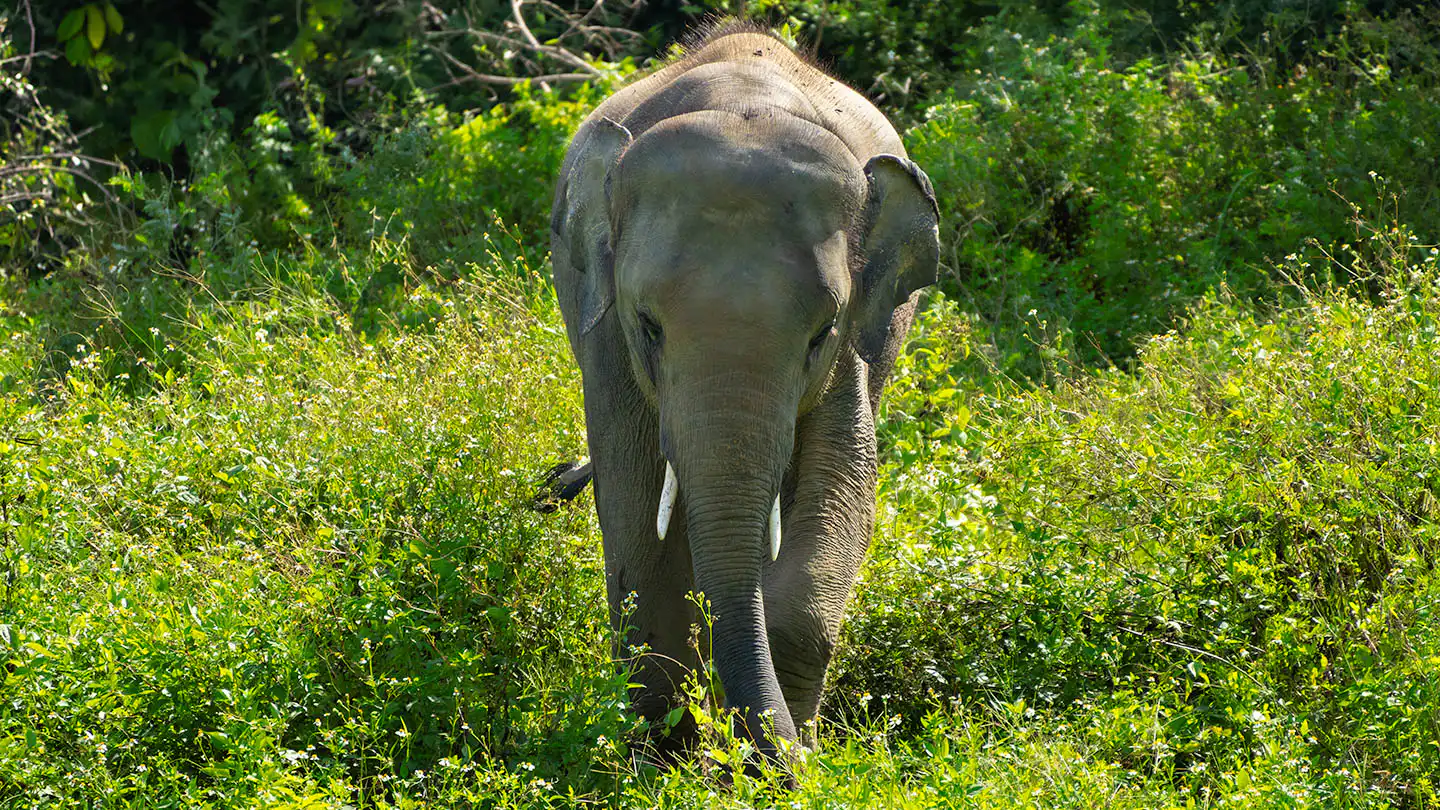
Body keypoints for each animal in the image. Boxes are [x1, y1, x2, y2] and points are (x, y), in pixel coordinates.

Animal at [549, 24, 939, 763]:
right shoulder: (606, 335)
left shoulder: (853, 343)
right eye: (649, 325)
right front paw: (663, 758)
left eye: (819, 334)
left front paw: (786, 757)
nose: (786, 764)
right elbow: (633, 500)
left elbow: (844, 484)